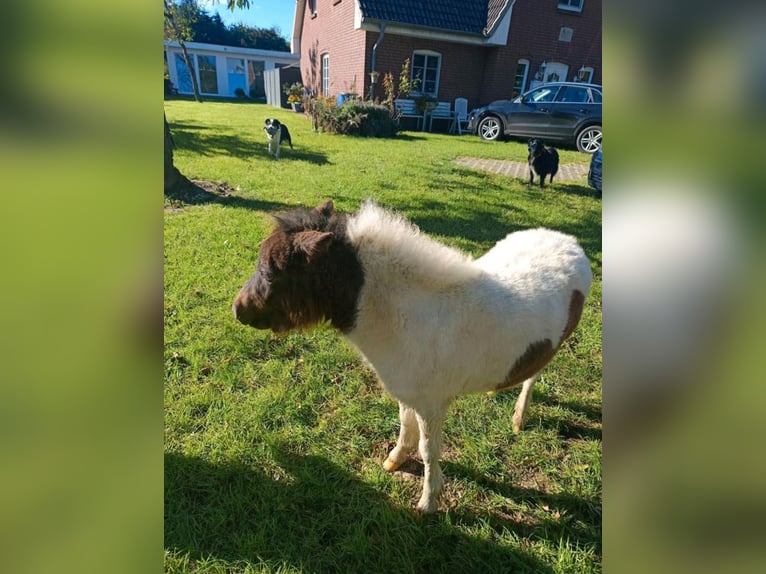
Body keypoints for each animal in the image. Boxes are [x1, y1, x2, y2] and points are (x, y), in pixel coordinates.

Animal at [234, 201, 592, 512]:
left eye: (273, 270)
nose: (238, 309)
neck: (404, 314)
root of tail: (572, 243)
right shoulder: (408, 394)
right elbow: (405, 427)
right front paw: (394, 461)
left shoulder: (432, 405)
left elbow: (429, 451)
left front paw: (428, 503)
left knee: (533, 375)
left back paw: (519, 418)